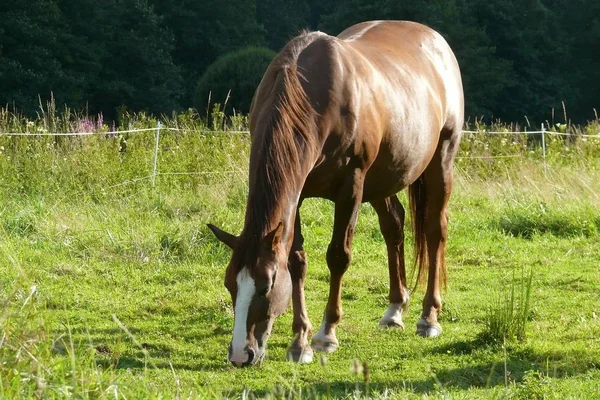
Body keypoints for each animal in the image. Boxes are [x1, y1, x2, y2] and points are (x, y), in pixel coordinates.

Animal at [206, 21, 464, 366]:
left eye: (265, 286)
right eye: (230, 283)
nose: (239, 354)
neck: (312, 95)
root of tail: (436, 41)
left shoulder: (351, 186)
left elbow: (338, 256)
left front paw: (326, 334)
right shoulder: (298, 193)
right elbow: (296, 261)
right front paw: (299, 341)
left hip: (440, 161)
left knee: (435, 231)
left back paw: (428, 317)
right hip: (382, 179)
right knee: (394, 226)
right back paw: (395, 309)